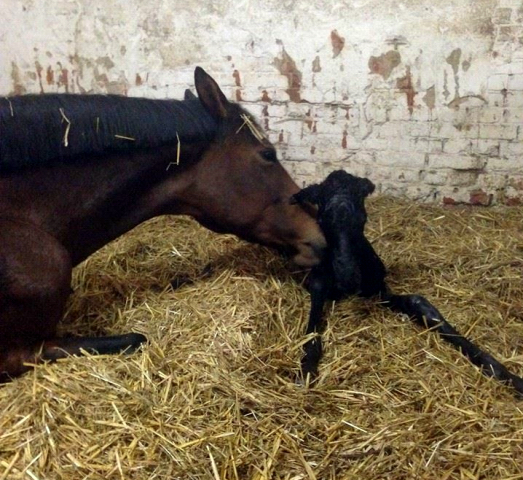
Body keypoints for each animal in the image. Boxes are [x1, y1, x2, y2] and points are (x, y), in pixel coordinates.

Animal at [290, 171, 523, 396]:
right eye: (322, 222)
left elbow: (420, 304)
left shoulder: (379, 291)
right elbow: (312, 329)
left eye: (362, 219)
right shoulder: (318, 284)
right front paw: (306, 370)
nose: (349, 280)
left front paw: (508, 376)